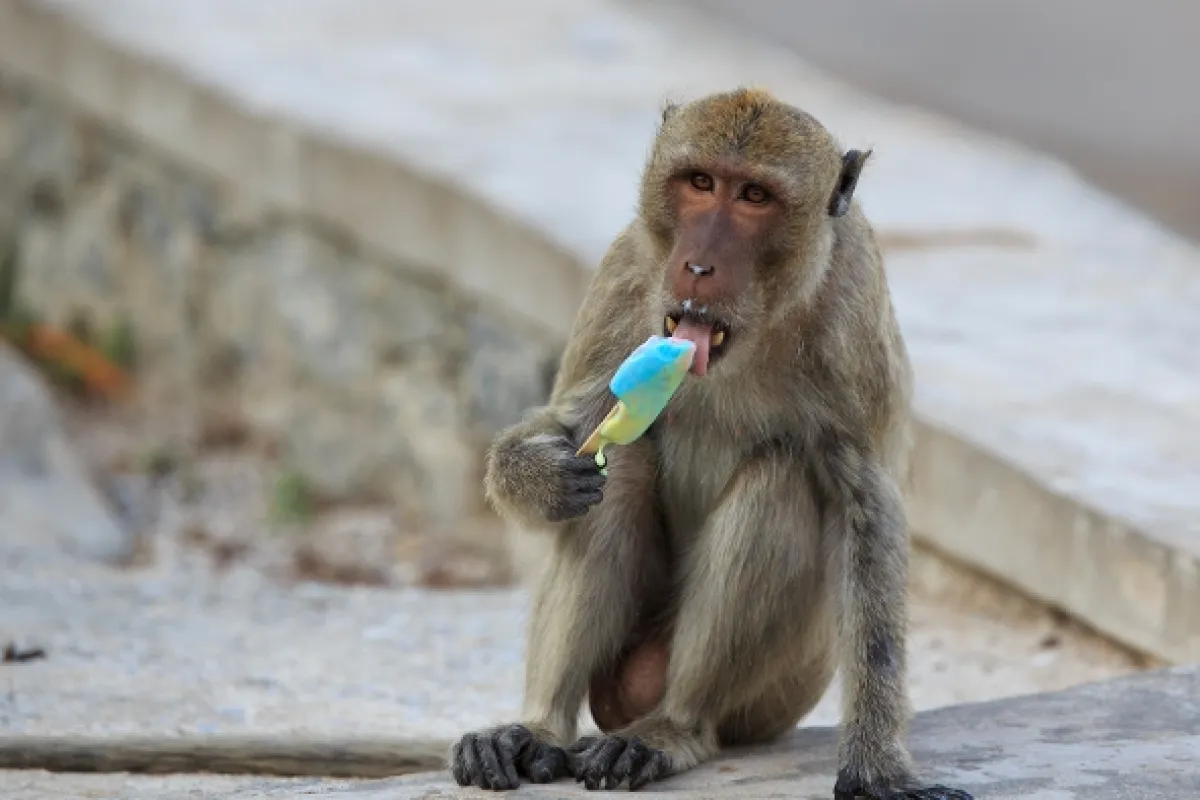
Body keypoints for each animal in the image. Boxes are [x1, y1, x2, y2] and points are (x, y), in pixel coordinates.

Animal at [450, 88, 974, 800]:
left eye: (753, 196)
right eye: (700, 183)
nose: (699, 265)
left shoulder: (851, 323)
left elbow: (867, 509)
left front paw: (878, 769)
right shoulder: (626, 275)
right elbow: (573, 424)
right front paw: (539, 474)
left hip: (779, 688)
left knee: (780, 477)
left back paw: (673, 729)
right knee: (625, 467)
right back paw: (540, 731)